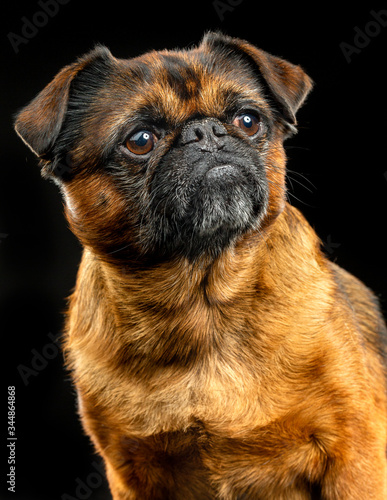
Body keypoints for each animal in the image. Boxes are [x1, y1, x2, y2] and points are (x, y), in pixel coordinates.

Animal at [15, 32, 387, 500]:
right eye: (140, 140)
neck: (202, 302)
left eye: (248, 120)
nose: (205, 130)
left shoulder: (355, 457)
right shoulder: (131, 474)